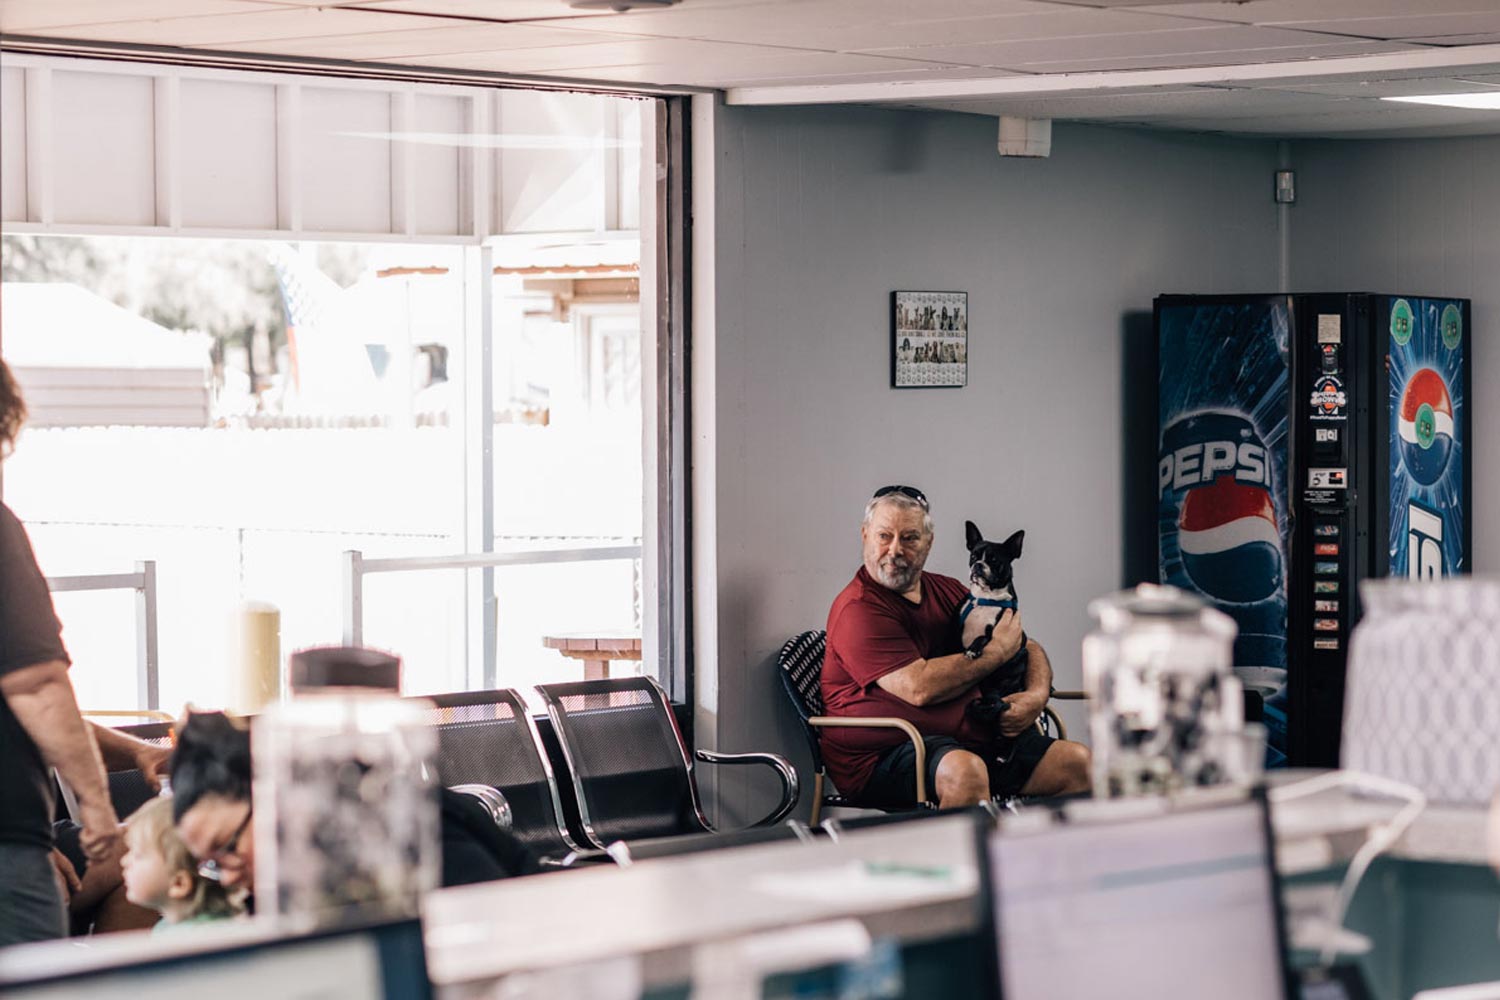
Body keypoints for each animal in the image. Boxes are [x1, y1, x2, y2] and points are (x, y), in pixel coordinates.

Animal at [960, 524, 1032, 728]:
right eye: (973, 556)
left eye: (994, 560)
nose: (978, 565)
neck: (986, 598)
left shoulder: (994, 633)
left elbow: (981, 637)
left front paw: (973, 649)